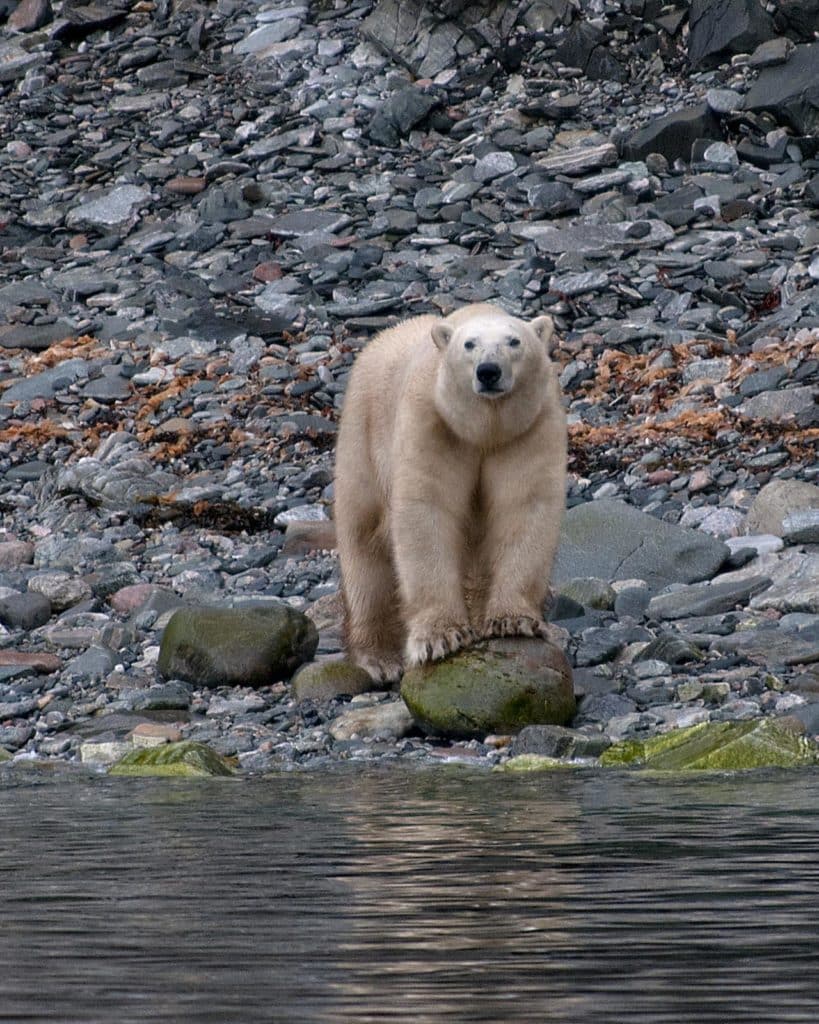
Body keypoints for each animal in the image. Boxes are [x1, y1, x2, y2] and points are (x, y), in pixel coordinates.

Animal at [331, 305, 565, 688]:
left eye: (514, 341)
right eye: (469, 344)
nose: (489, 371)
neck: (483, 430)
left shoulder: (530, 427)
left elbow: (524, 507)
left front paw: (512, 620)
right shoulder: (431, 421)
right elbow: (426, 510)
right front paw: (439, 637)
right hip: (360, 438)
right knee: (363, 548)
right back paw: (378, 657)